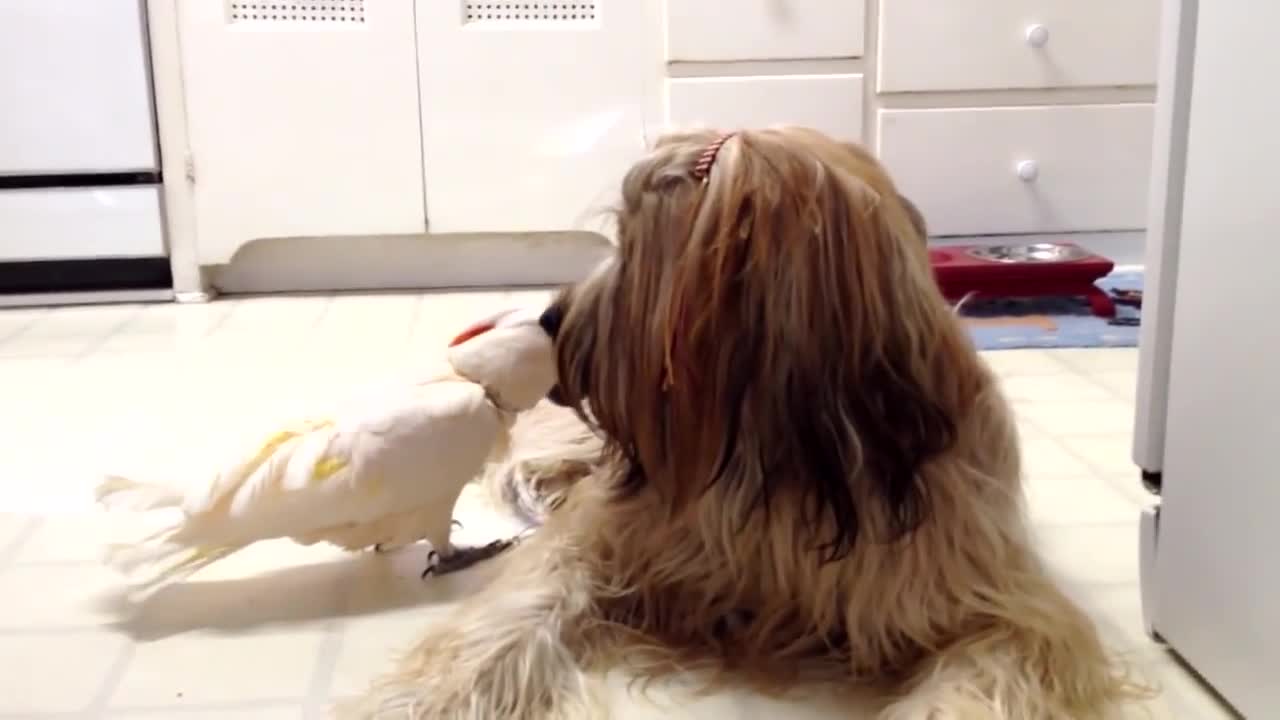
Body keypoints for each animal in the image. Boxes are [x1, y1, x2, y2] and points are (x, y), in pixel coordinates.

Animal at [345, 128, 1146, 717]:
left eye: (638, 244)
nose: (549, 321)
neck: (781, 454)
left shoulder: (1003, 606)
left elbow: (992, 664)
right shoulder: (609, 537)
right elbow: (524, 602)